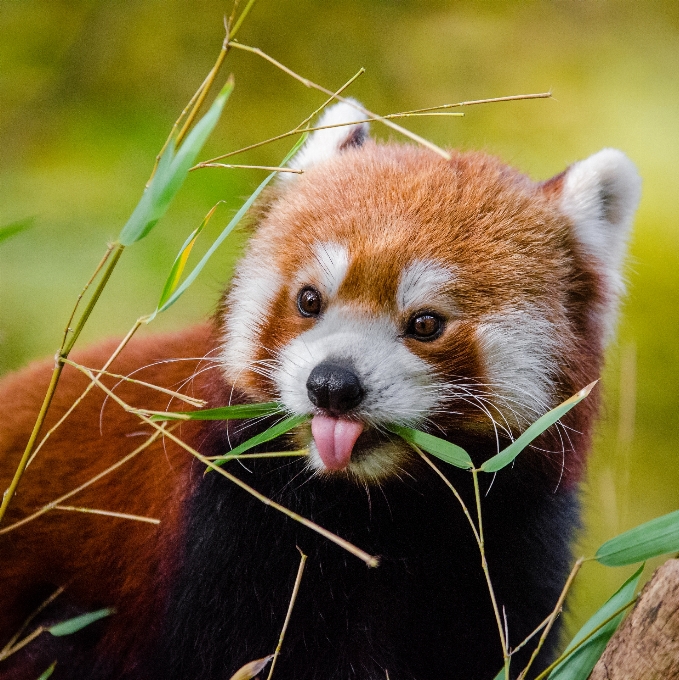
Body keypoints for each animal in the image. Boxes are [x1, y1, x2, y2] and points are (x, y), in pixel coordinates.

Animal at [0, 102, 640, 680]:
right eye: (310, 300)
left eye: (425, 323)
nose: (333, 384)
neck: (375, 514)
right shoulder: (228, 530)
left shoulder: (509, 545)